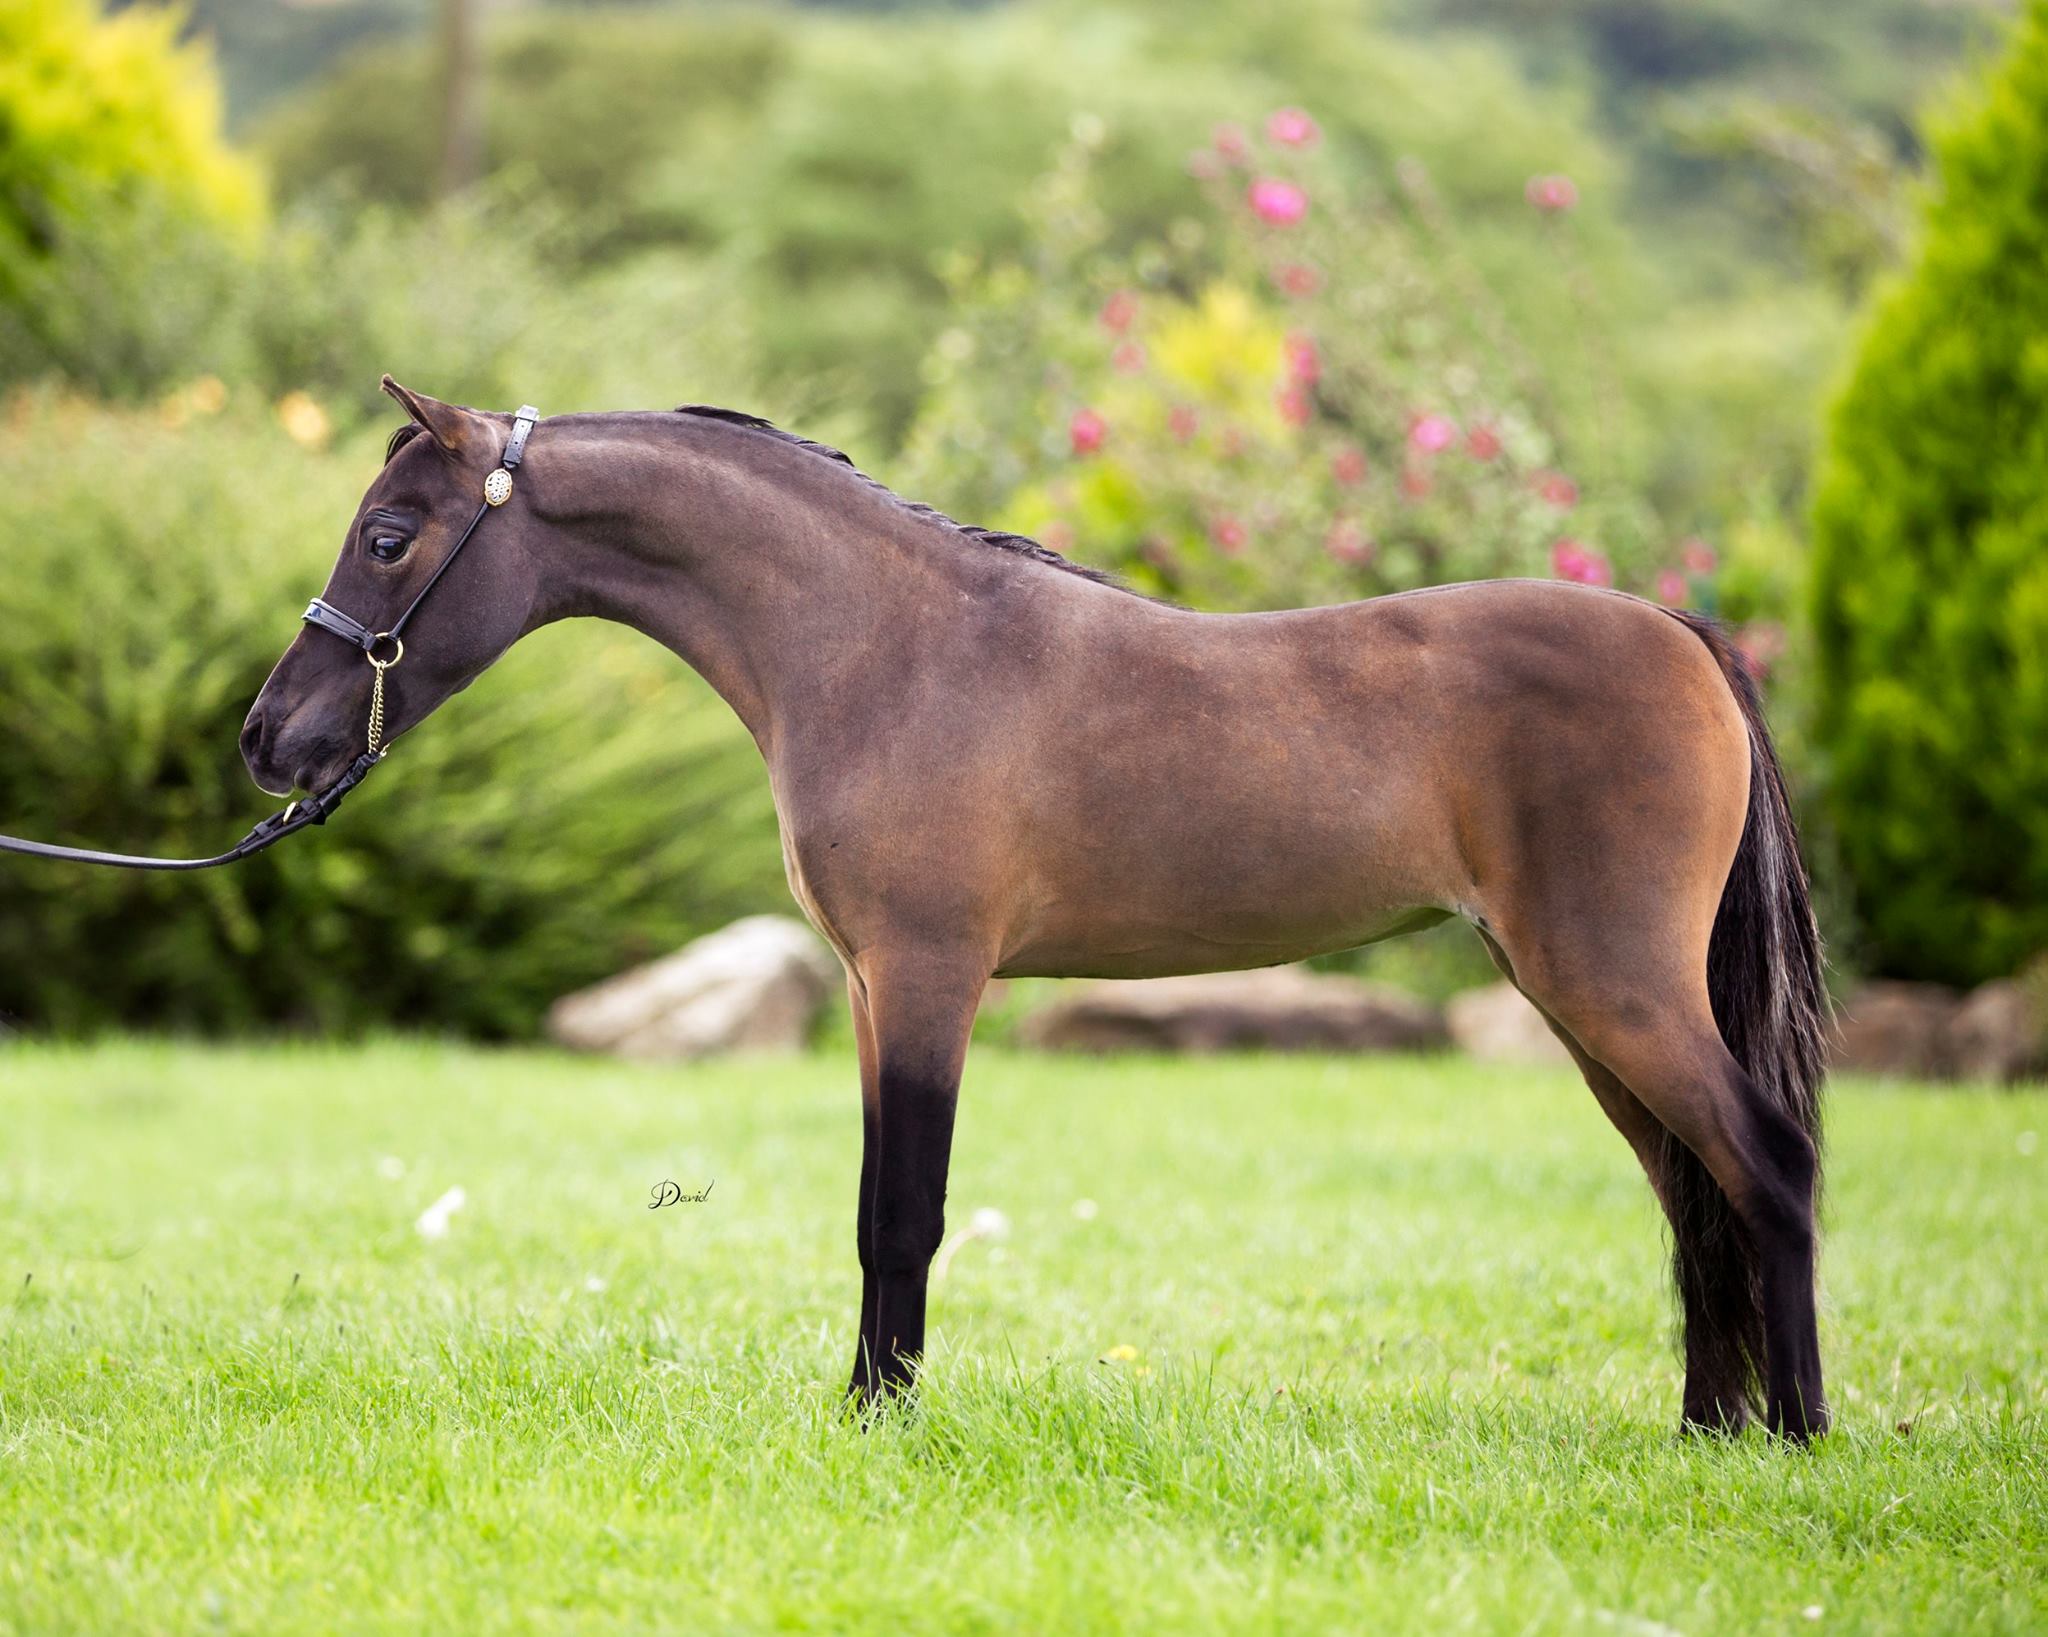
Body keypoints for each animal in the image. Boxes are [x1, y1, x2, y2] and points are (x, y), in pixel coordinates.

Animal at [241, 379, 1831, 1439]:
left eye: (388, 536)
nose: (269, 742)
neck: (887, 643)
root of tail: (1678, 632)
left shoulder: (930, 976)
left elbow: (907, 1211)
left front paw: (882, 1423)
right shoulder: (872, 990)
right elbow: (872, 1209)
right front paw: (865, 1403)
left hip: (1611, 987)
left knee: (1766, 1162)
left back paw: (1799, 1434)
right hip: (1586, 1006)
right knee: (1693, 1192)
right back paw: (1707, 1427)